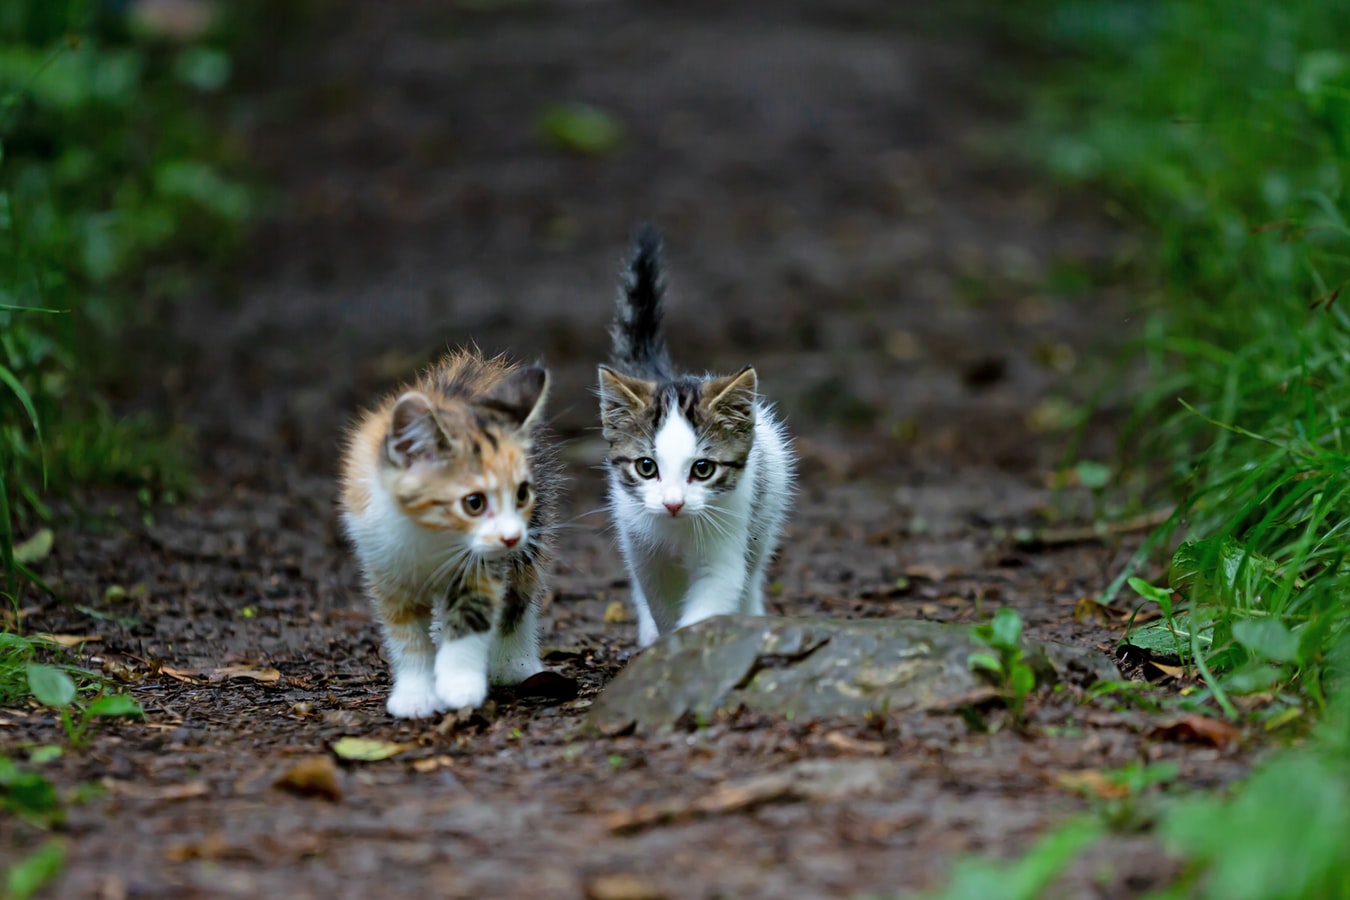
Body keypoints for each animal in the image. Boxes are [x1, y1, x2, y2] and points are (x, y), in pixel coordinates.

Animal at [340, 350, 556, 717]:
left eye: (521, 494)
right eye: (474, 503)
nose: (511, 536)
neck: (432, 535)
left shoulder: (485, 564)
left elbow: (474, 614)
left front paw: (459, 684)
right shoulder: (383, 563)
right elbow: (405, 633)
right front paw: (415, 694)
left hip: (533, 535)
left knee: (520, 594)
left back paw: (515, 663)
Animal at [596, 225, 793, 647]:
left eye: (703, 469)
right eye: (646, 467)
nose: (673, 503)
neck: (677, 530)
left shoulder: (728, 534)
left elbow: (716, 595)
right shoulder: (643, 549)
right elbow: (660, 601)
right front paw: (664, 644)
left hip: (766, 511)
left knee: (753, 572)